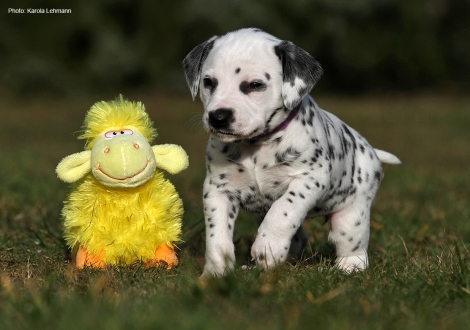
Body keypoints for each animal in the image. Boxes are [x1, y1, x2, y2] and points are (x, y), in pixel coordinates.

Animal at [184, 28, 400, 278]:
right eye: (208, 82)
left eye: (255, 85)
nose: (218, 117)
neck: (256, 146)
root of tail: (372, 152)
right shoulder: (218, 189)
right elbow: (217, 238)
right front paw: (215, 274)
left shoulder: (309, 180)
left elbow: (283, 211)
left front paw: (267, 246)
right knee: (298, 239)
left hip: (352, 214)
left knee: (352, 245)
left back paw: (347, 268)